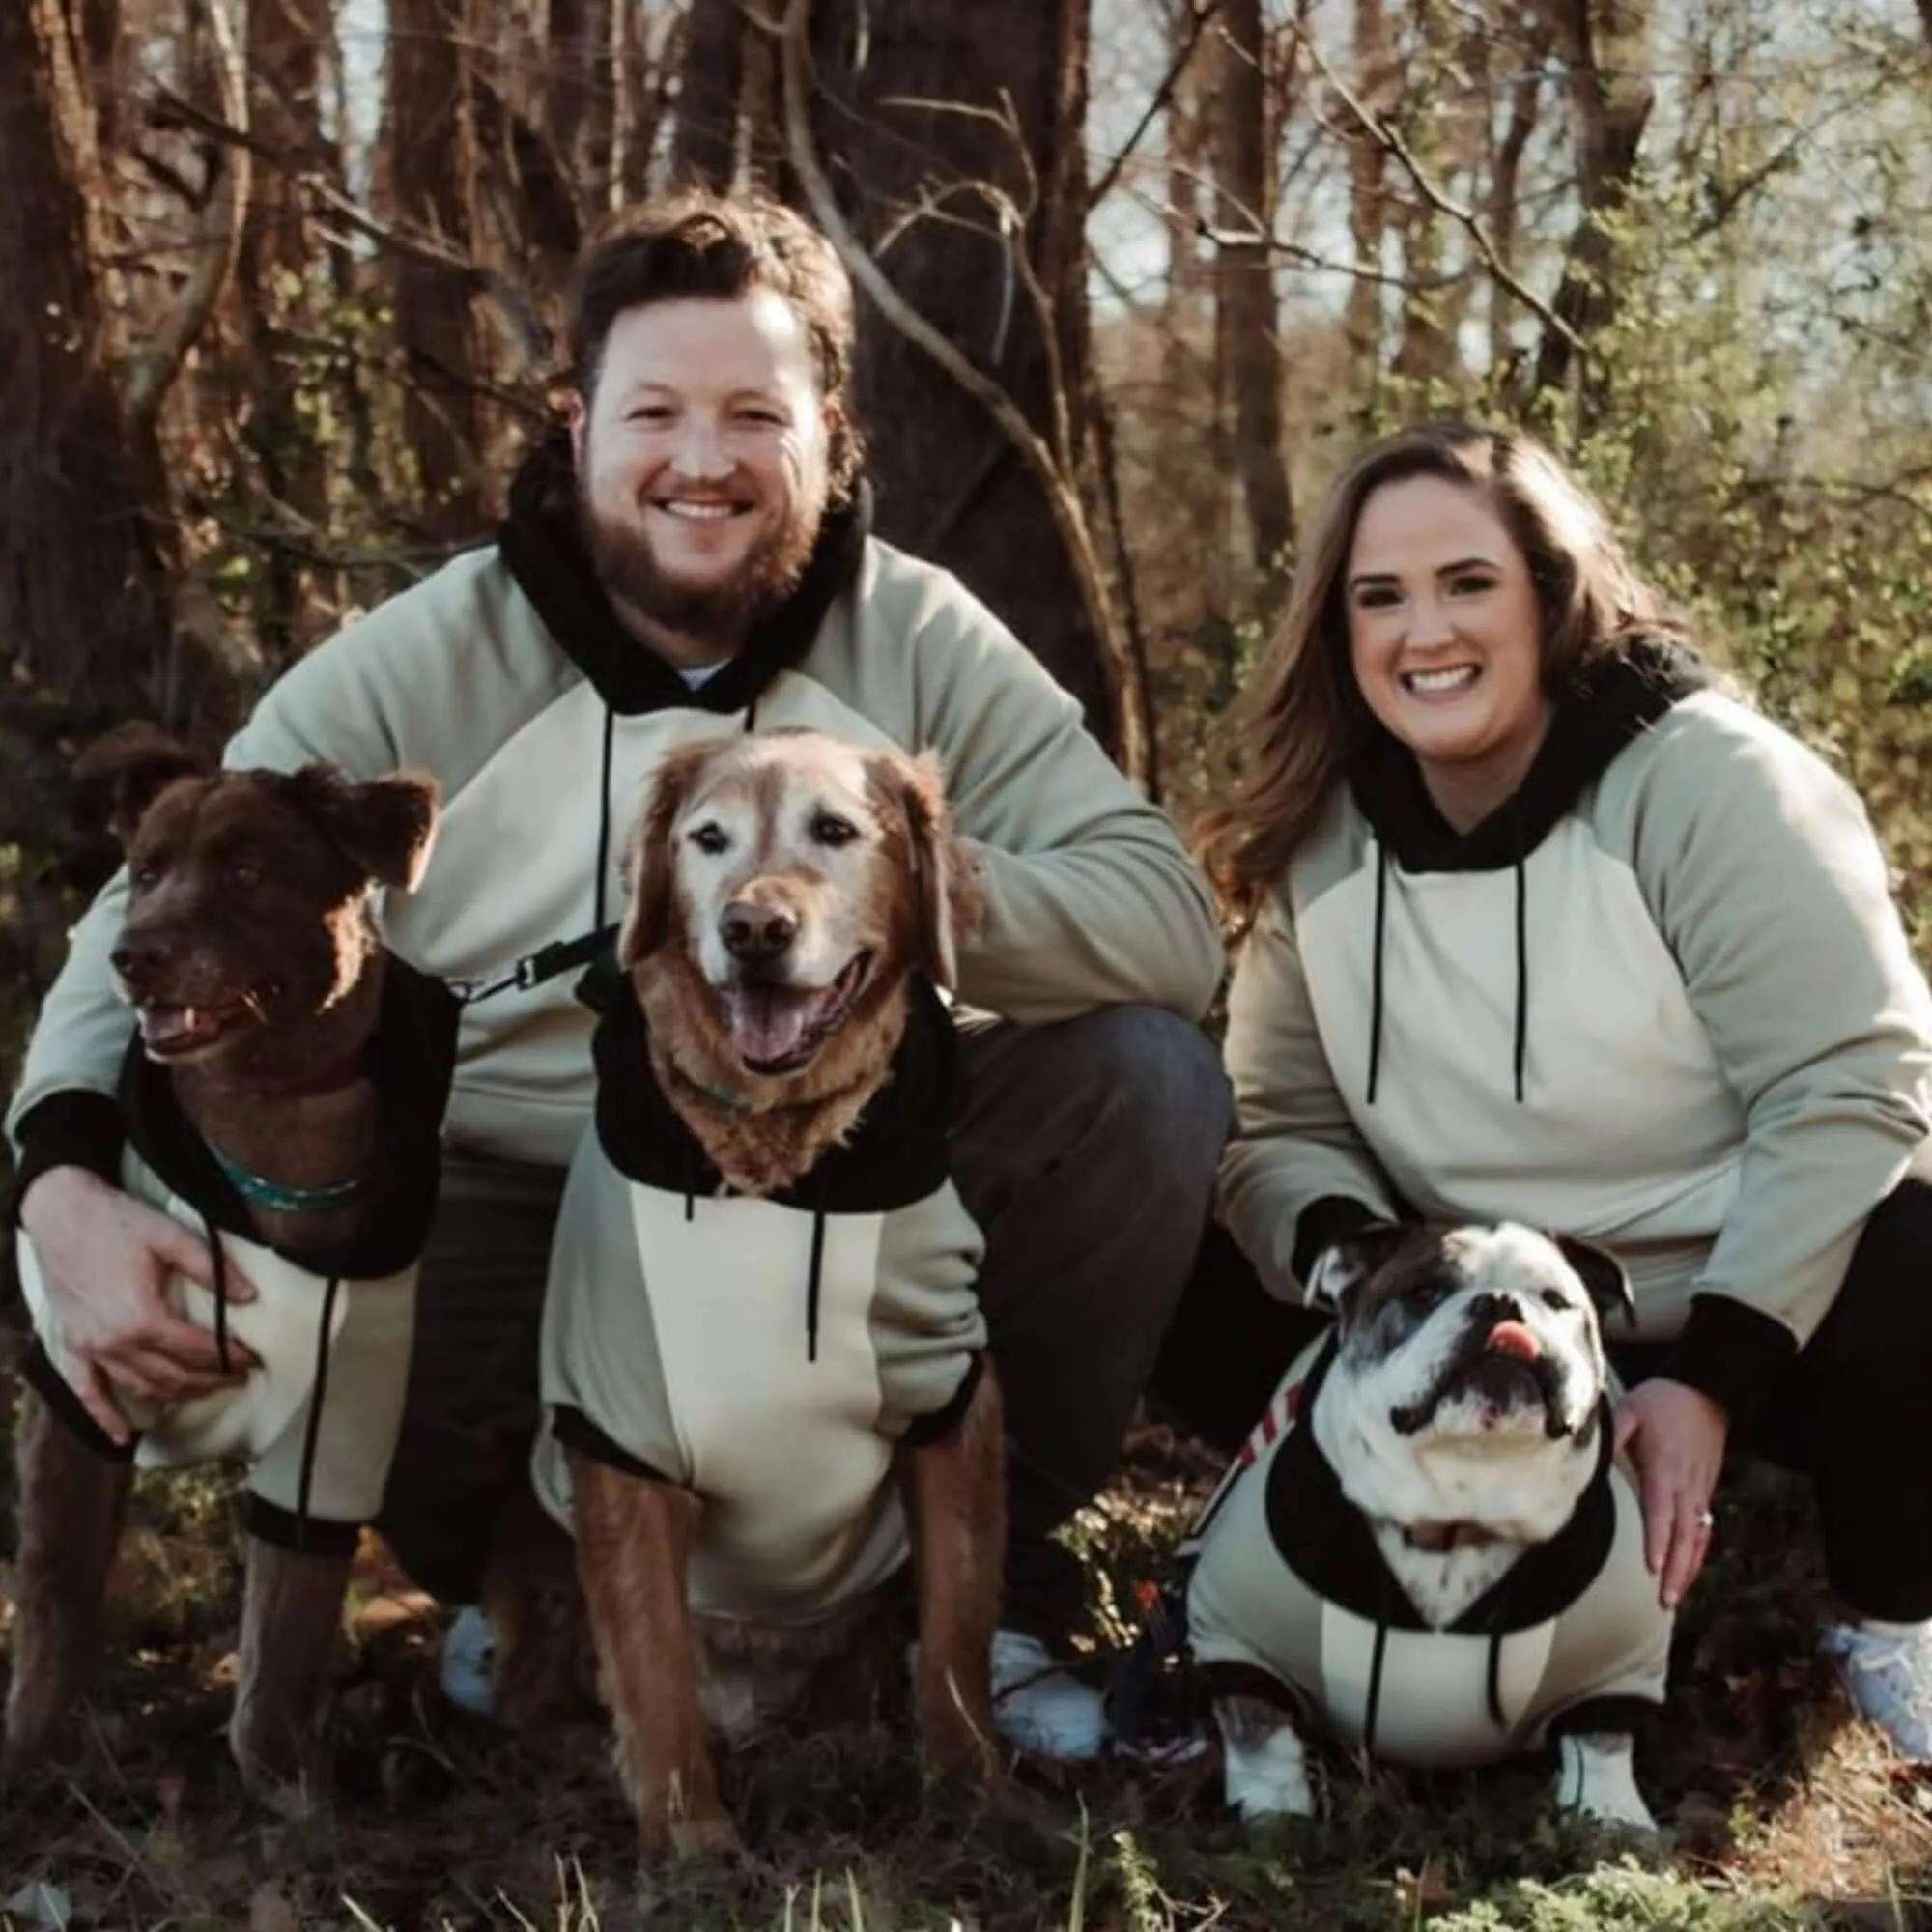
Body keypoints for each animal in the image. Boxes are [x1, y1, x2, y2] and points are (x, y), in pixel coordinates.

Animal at [498, 726, 1005, 1855]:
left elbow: (957, 1632)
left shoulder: (950, 1399)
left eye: (837, 830)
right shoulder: (620, 1432)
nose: (753, 929)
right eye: (708, 839)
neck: (779, 1167)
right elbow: (652, 1666)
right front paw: (691, 1837)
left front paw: (977, 1793)